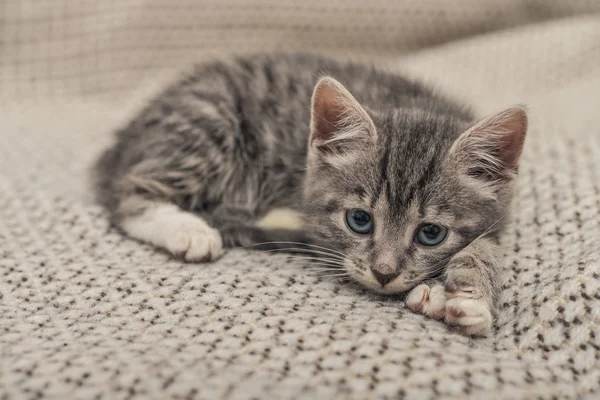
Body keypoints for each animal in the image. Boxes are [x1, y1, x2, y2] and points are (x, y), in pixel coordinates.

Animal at [94, 52, 524, 334]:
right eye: (359, 220)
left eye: (431, 233)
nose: (384, 274)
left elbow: (483, 247)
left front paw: (466, 297)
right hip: (208, 123)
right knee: (127, 195)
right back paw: (190, 231)